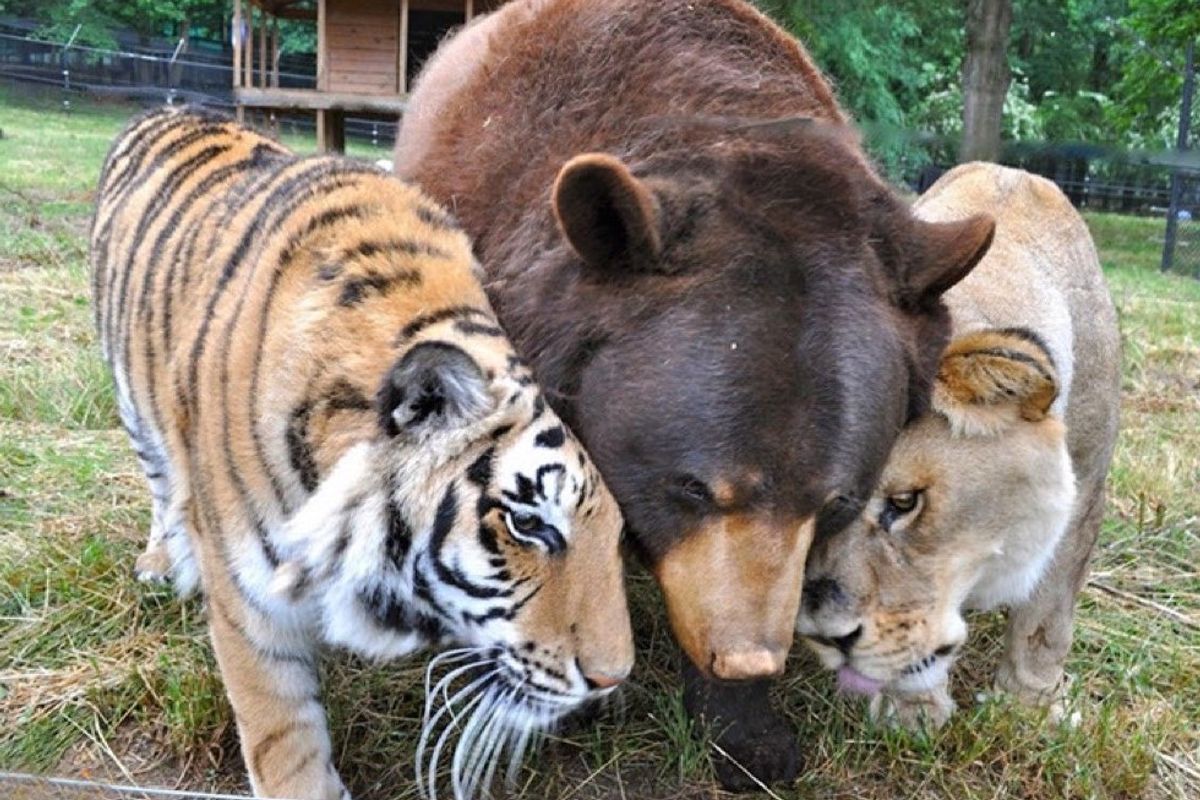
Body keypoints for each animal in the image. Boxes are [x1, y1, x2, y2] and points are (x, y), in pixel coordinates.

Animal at [89, 105, 634, 800]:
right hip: (134, 403)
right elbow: (283, 739)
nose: (612, 679)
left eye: (615, 534)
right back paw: (163, 562)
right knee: (161, 482)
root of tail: (170, 106)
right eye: (527, 524)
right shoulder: (250, 606)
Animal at [796, 162, 1121, 728]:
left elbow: (1047, 618)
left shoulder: (1086, 489)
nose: (824, 637)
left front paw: (1030, 707)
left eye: (904, 503)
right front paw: (911, 712)